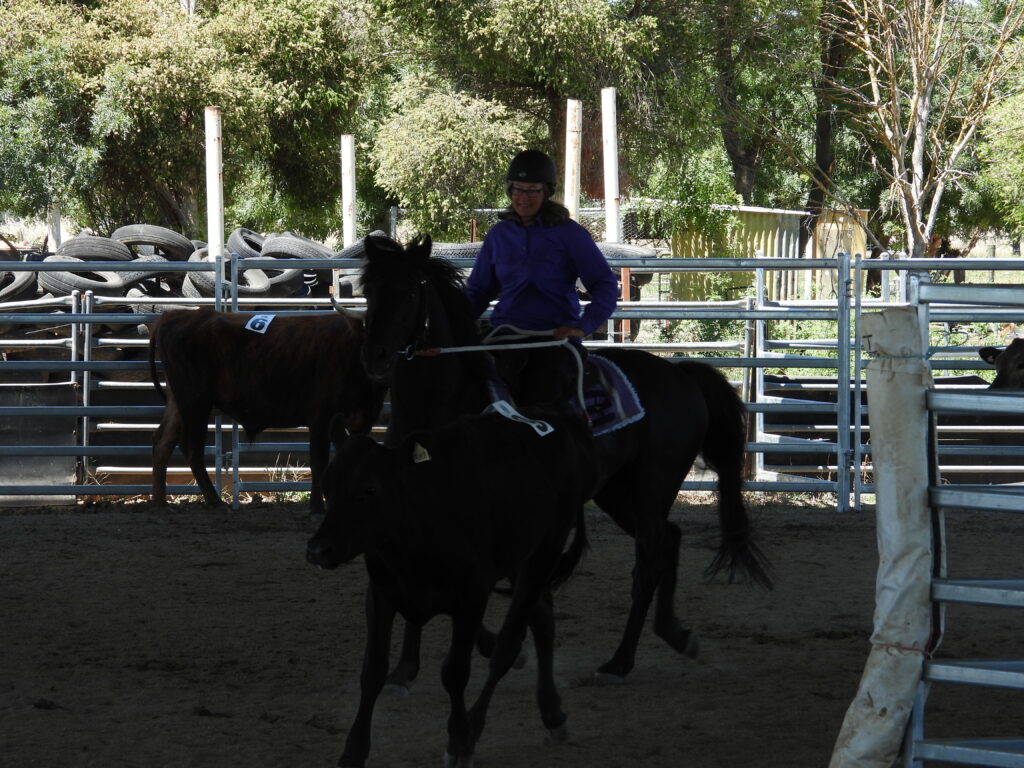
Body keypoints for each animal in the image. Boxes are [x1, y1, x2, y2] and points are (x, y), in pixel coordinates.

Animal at [151, 305, 387, 512]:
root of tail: (176, 315)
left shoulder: (361, 421)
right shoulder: (321, 416)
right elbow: (319, 462)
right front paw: (316, 507)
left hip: (178, 402)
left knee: (163, 443)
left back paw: (161, 503)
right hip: (195, 401)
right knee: (191, 448)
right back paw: (215, 502)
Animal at [307, 409, 598, 768]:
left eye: (369, 488)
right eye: (326, 485)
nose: (318, 550)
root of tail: (563, 423)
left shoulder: (471, 598)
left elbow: (455, 672)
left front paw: (459, 742)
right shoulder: (381, 595)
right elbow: (372, 671)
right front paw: (353, 751)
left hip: (547, 548)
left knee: (508, 647)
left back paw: (476, 727)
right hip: (521, 559)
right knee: (542, 618)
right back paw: (552, 713)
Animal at [350, 233, 770, 684]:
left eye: (411, 291)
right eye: (369, 290)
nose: (374, 357)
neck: (446, 399)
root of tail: (682, 374)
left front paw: (500, 648)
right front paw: (407, 665)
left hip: (653, 486)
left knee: (648, 558)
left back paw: (622, 659)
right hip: (616, 492)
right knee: (668, 540)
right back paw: (672, 632)